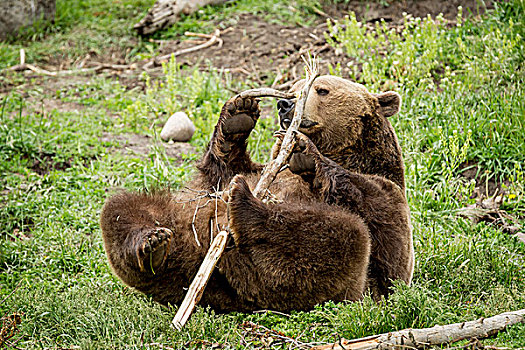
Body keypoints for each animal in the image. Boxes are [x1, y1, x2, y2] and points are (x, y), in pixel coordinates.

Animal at [99, 76, 414, 312]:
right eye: (293, 88)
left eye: (321, 89)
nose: (285, 104)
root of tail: (242, 294)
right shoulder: (248, 172)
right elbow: (225, 170)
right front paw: (237, 115)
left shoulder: (386, 186)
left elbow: (389, 245)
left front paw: (305, 152)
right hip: (182, 229)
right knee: (123, 208)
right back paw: (152, 244)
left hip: (340, 280)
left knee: (345, 236)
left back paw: (245, 204)